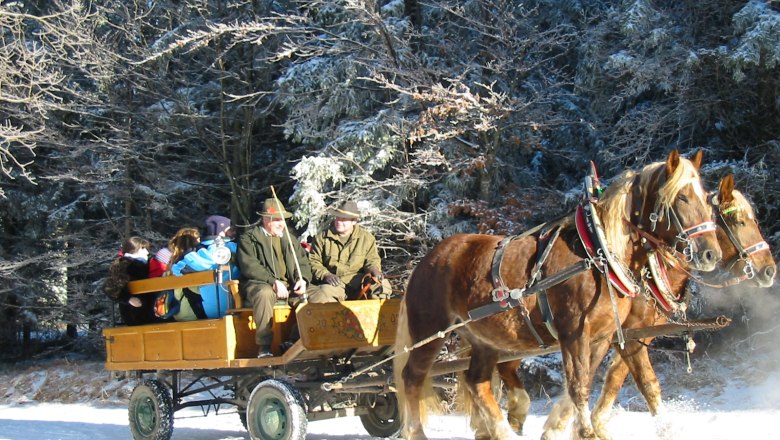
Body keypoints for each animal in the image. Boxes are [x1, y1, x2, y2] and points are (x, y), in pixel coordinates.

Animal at [394, 150, 724, 440]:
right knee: (412, 377)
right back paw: (417, 432)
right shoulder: (574, 333)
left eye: (706, 197)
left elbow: (625, 382)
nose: (711, 253)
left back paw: (503, 430)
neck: (599, 253)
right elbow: (579, 386)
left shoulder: (605, 336)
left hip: (484, 338)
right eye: (681, 197)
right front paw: (585, 432)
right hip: (431, 331)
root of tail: (428, 258)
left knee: (477, 381)